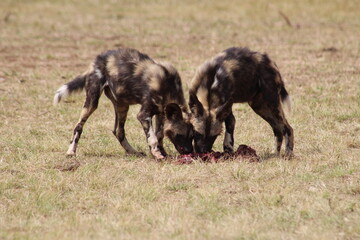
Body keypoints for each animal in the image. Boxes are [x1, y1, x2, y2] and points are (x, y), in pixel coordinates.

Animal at [53, 47, 193, 159]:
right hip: (92, 102)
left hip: (122, 105)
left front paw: (162, 153)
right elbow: (152, 138)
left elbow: (159, 135)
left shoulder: (160, 113)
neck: (168, 88)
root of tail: (97, 59)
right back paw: (71, 151)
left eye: (192, 136)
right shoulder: (144, 115)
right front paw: (158, 155)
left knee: (118, 131)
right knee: (79, 126)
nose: (189, 151)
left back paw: (133, 152)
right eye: (180, 135)